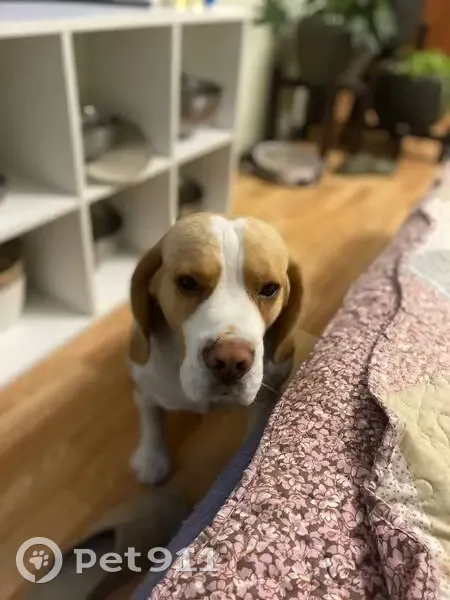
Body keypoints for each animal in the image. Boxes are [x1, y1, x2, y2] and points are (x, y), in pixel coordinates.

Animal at [128, 212, 302, 484]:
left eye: (269, 288)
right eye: (188, 283)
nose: (230, 362)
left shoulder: (264, 398)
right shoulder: (145, 380)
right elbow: (150, 417)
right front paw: (151, 458)